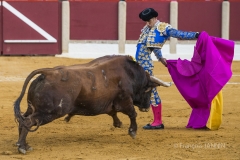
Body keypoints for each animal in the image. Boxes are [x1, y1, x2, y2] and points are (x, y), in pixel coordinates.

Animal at [14, 55, 171, 154]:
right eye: (149, 90)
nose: (146, 107)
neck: (130, 75)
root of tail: (47, 73)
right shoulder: (125, 100)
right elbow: (132, 113)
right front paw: (132, 131)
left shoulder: (110, 102)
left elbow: (112, 112)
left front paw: (118, 123)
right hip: (50, 112)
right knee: (28, 121)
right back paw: (22, 147)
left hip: (33, 108)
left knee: (22, 120)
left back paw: (23, 144)